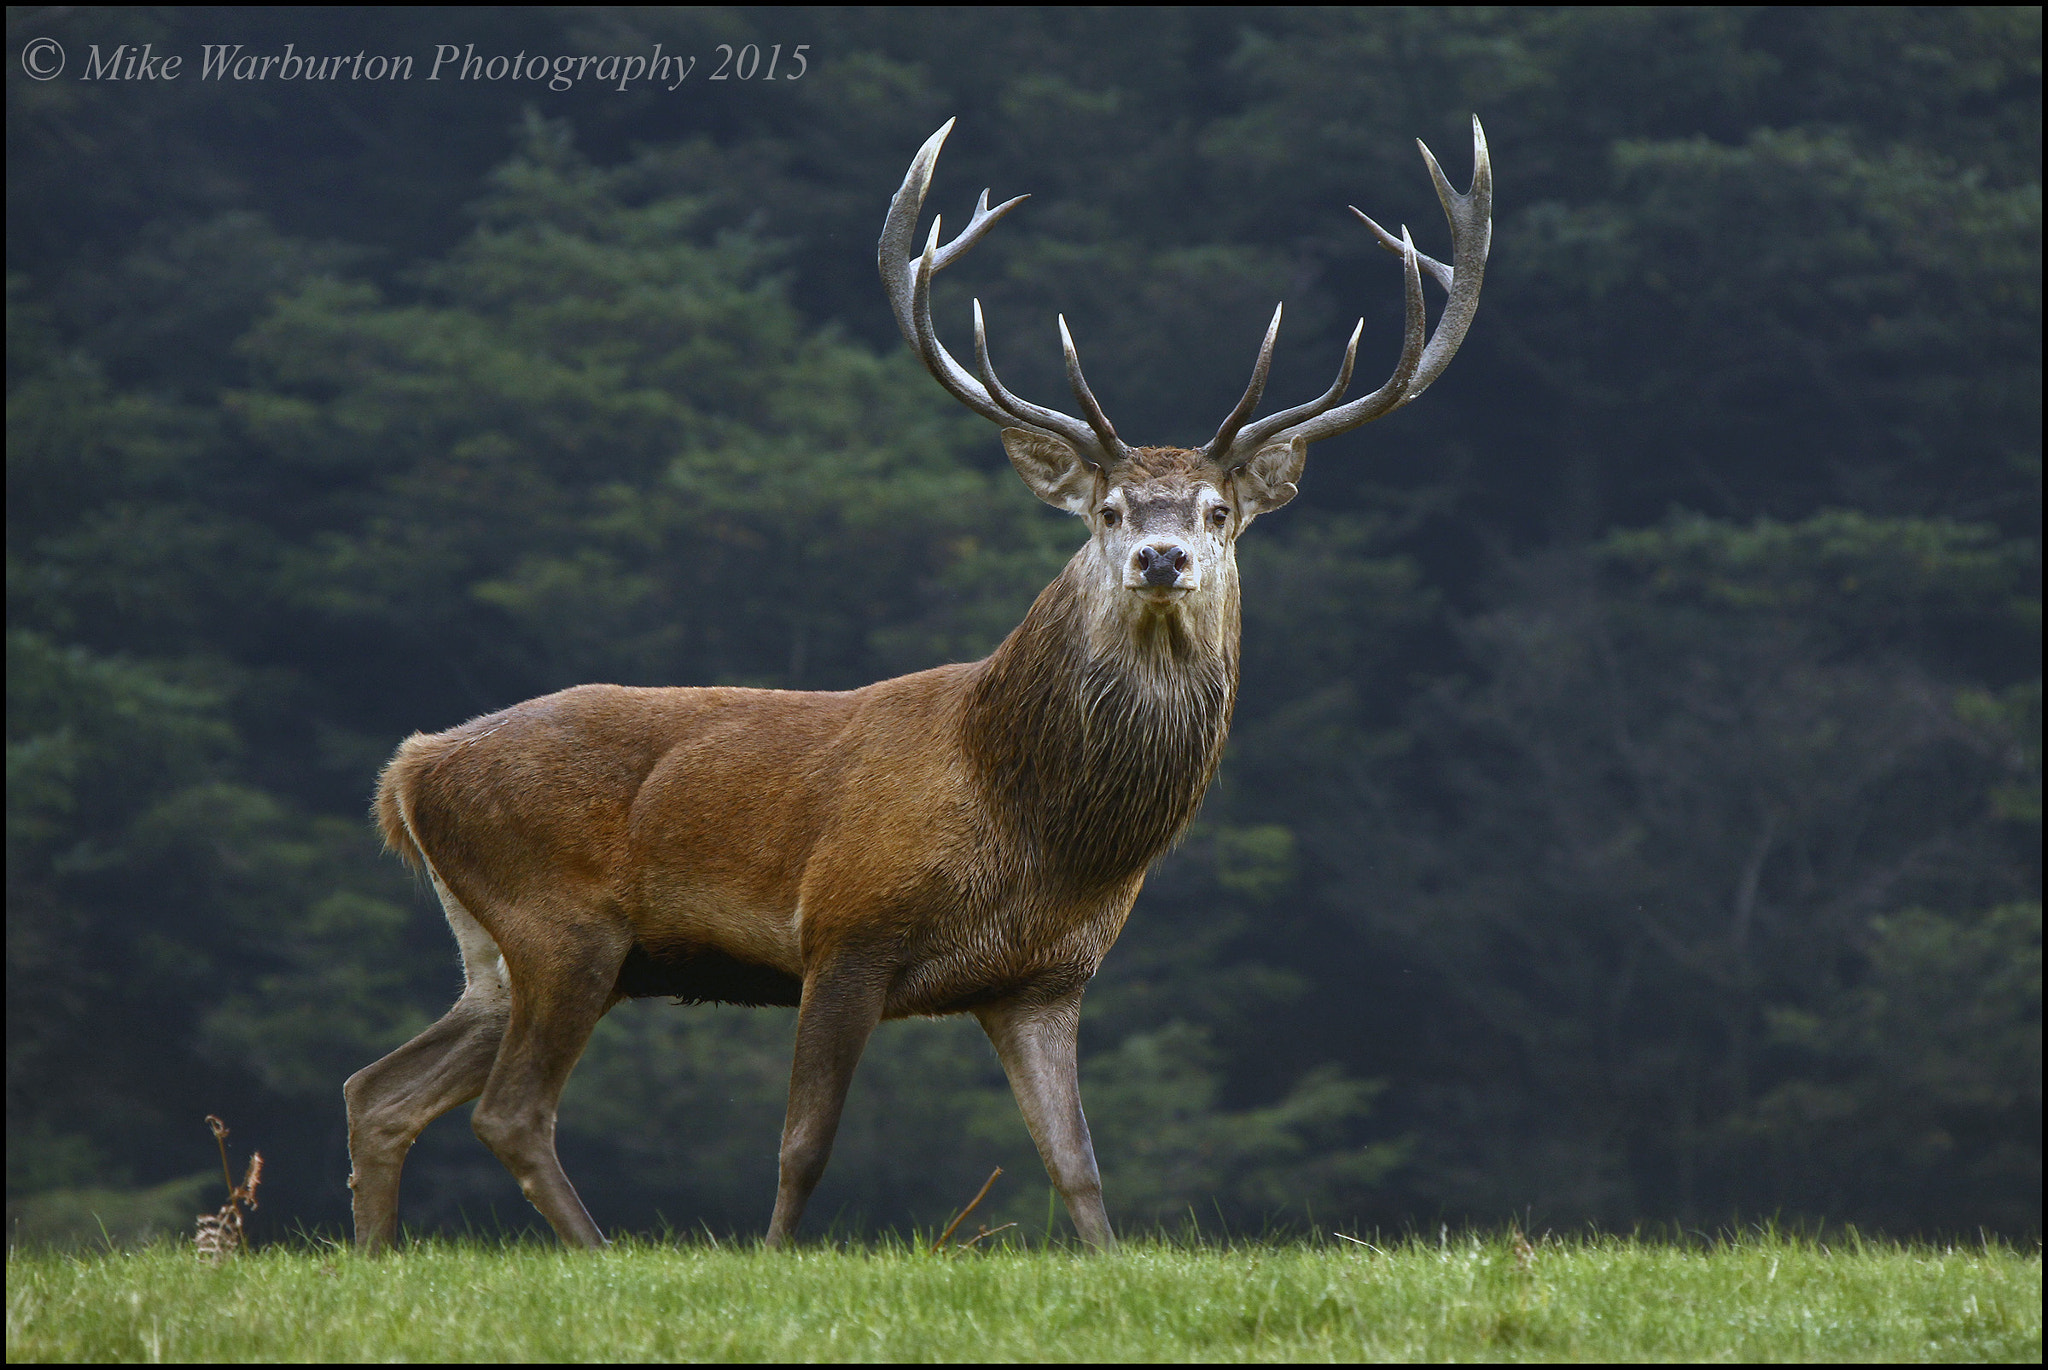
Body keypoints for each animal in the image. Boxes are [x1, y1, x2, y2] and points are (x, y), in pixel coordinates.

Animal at [344, 116, 1490, 1252]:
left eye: (1217, 513)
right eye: (1110, 509)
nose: (1160, 557)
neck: (1031, 824)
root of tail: (410, 772)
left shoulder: (1043, 979)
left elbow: (1078, 1167)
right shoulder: (845, 931)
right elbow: (802, 1147)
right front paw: (772, 1262)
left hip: (503, 953)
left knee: (380, 1089)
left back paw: (385, 1254)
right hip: (562, 923)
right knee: (509, 1110)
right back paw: (596, 1253)